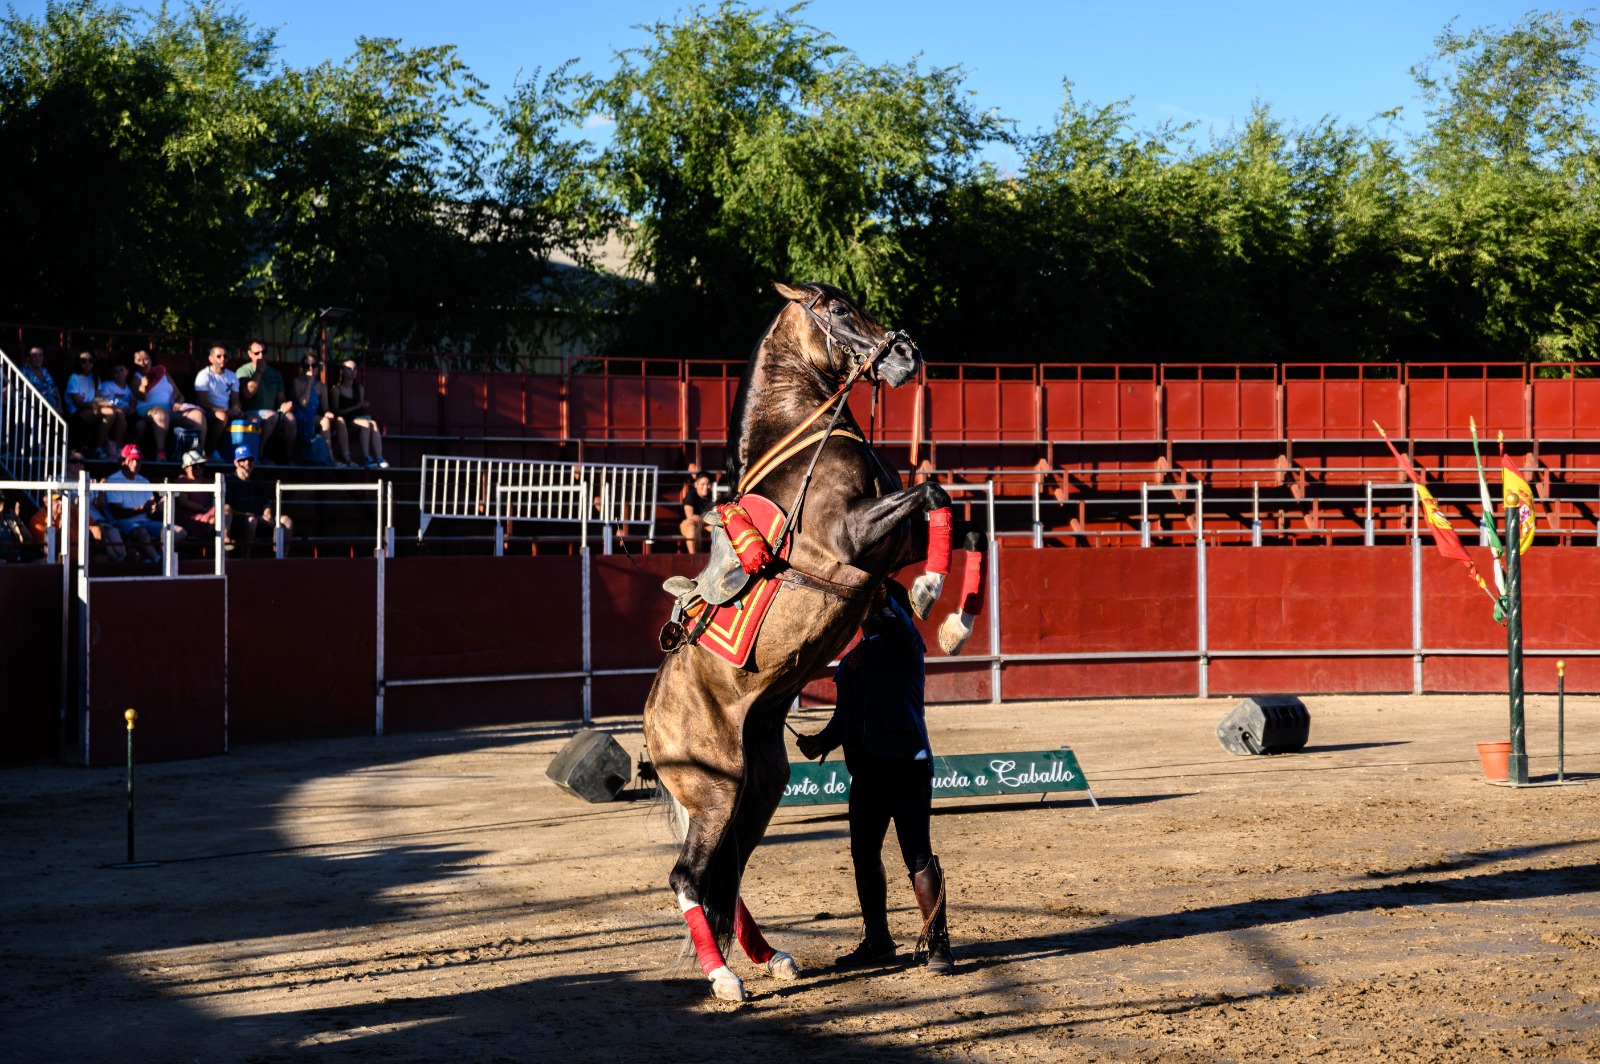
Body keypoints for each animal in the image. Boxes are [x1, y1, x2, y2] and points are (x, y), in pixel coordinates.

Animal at [633, 280, 960, 998]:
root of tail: (650, 725)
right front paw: (934, 597)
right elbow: (931, 493)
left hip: (758, 788)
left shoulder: (888, 544)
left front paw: (944, 607)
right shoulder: (853, 539)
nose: (908, 353)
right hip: (716, 791)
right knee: (689, 876)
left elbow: (946, 502)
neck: (803, 441)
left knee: (726, 874)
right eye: (837, 310)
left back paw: (772, 956)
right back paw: (725, 977)